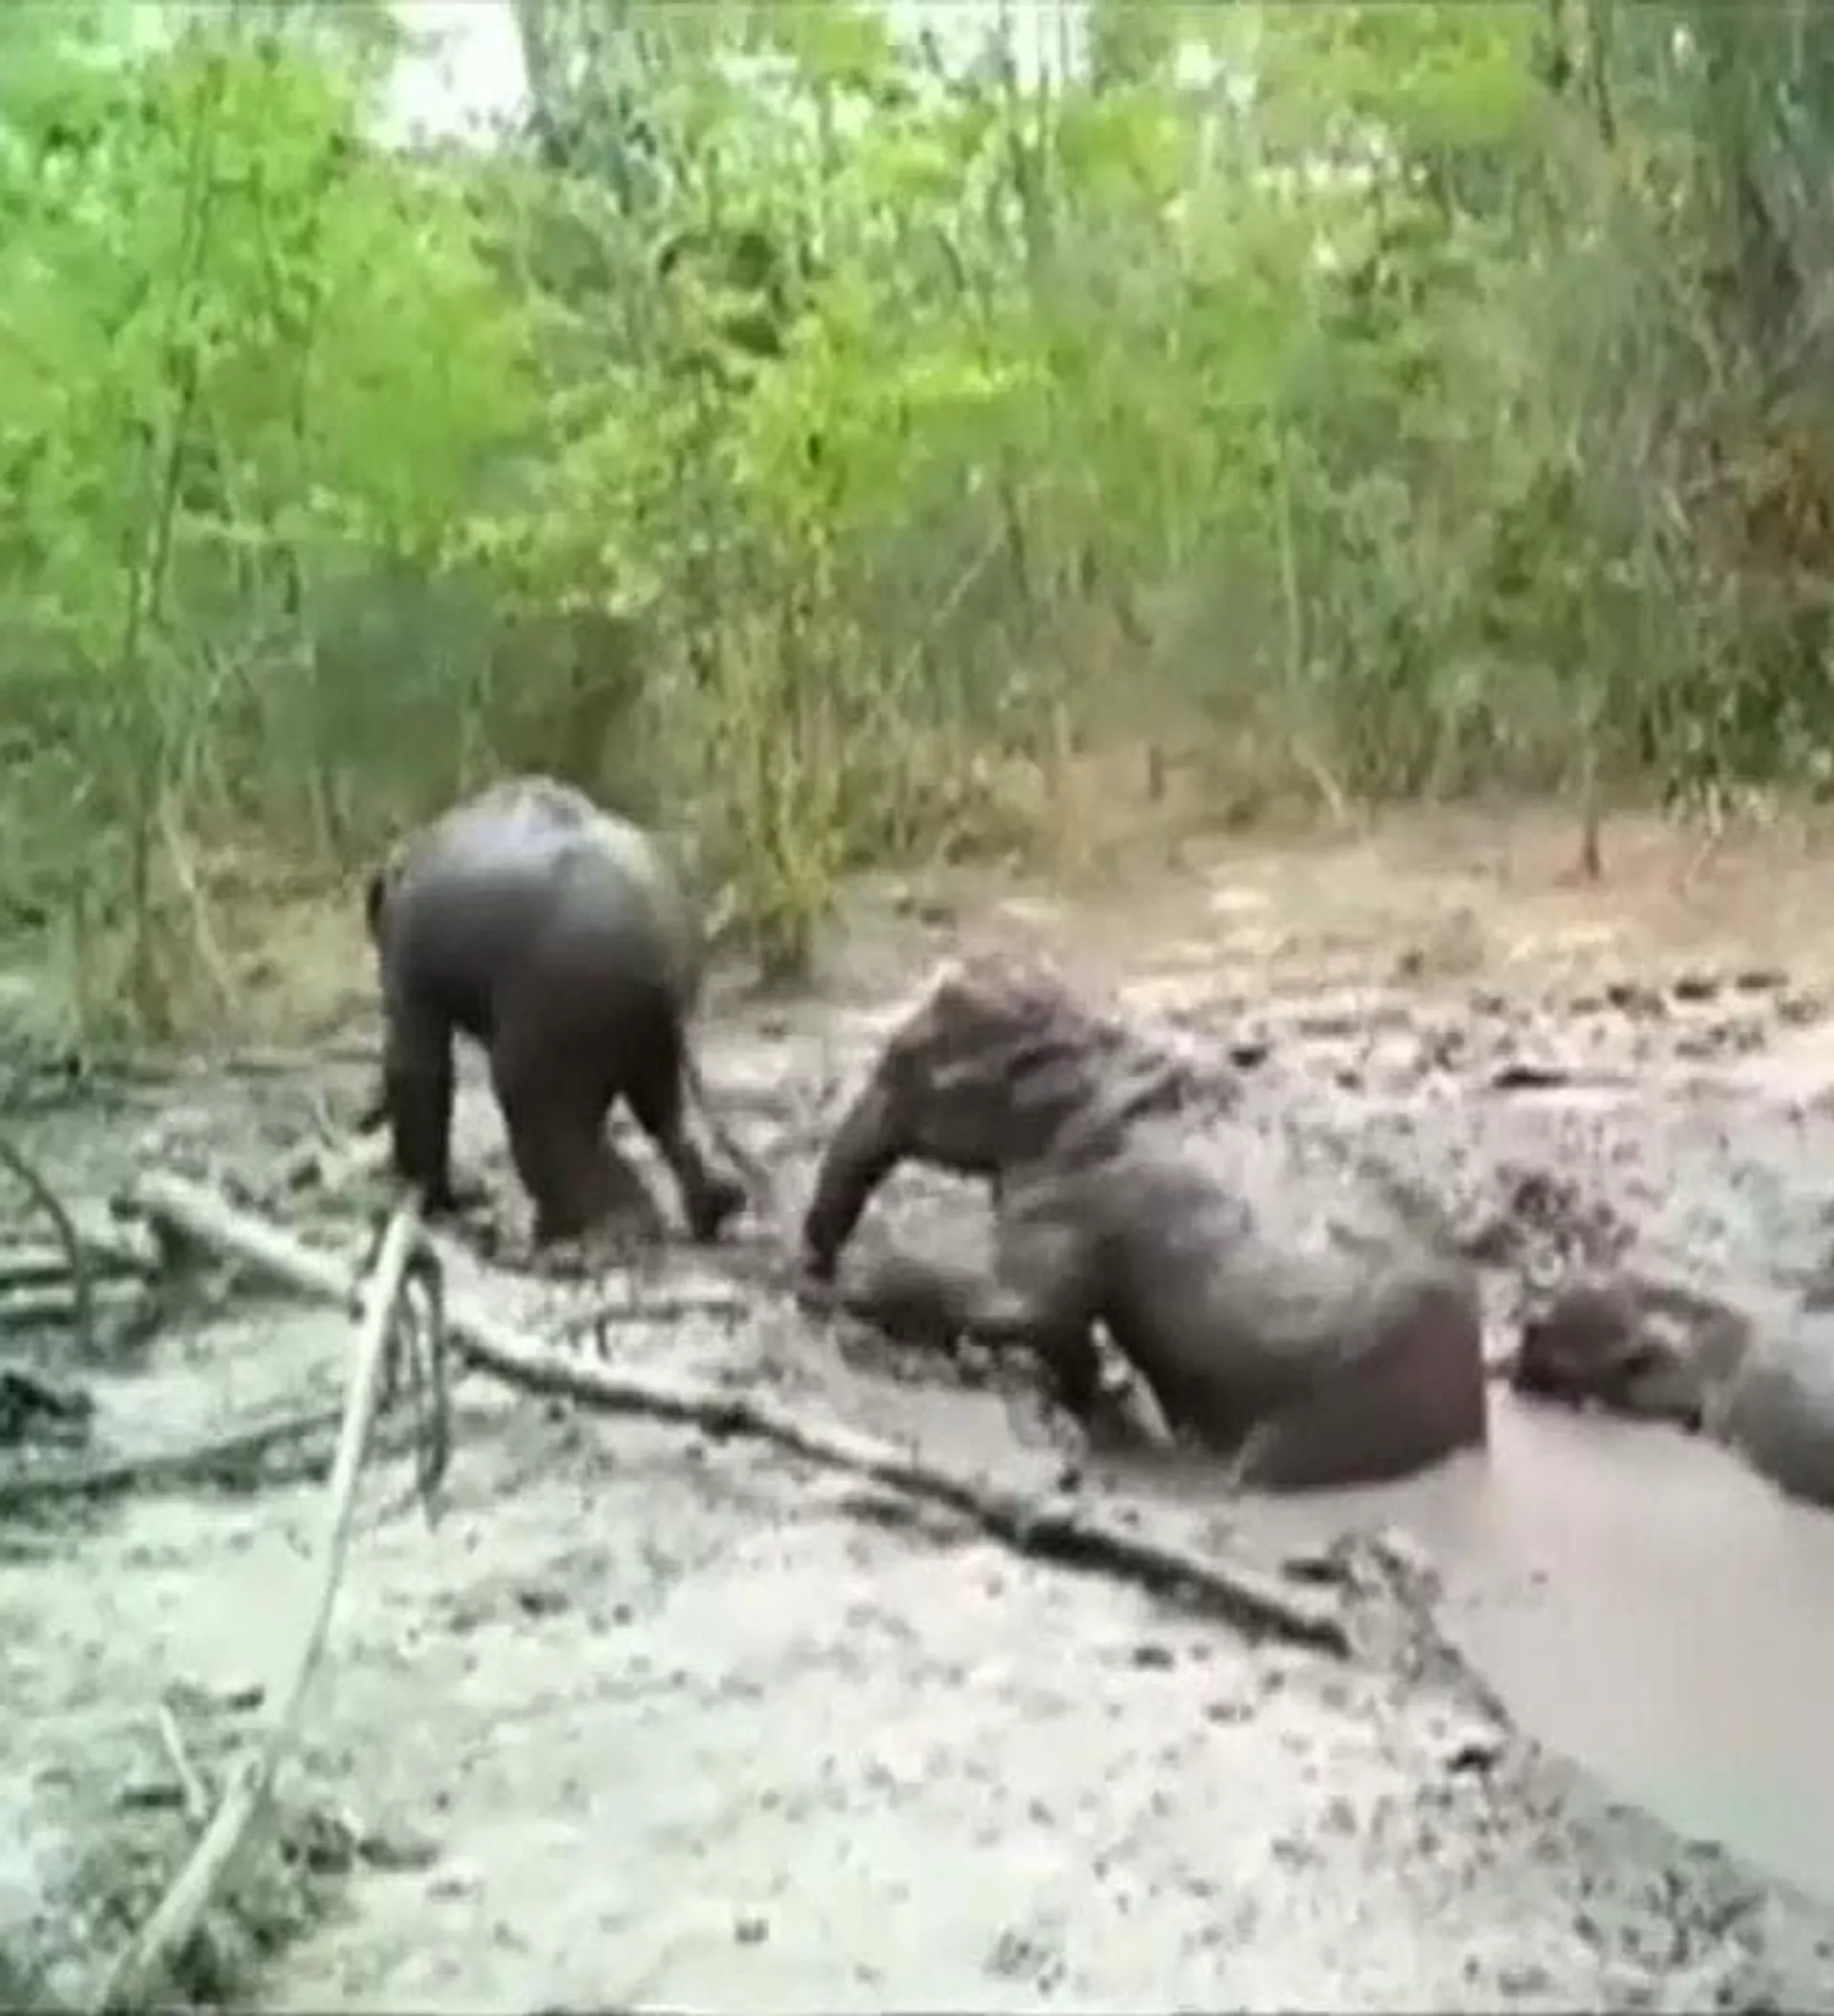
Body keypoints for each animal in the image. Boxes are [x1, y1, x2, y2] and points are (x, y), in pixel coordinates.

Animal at [363, 775, 747, 1246]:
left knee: (538, 1107)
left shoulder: (409, 959)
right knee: (655, 1103)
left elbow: (417, 1064)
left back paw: (580, 1232)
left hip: (562, 1000)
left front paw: (430, 1204)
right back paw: (712, 1210)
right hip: (638, 1015)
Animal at [799, 952, 1488, 1489]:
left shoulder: (1075, 1190)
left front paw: (867, 1274)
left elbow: (1027, 1304)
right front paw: (1096, 1397)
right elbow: (1058, 1326)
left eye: (902, 1060)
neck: (1092, 1054)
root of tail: (1476, 1420)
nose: (815, 1263)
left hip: (1353, 1403)